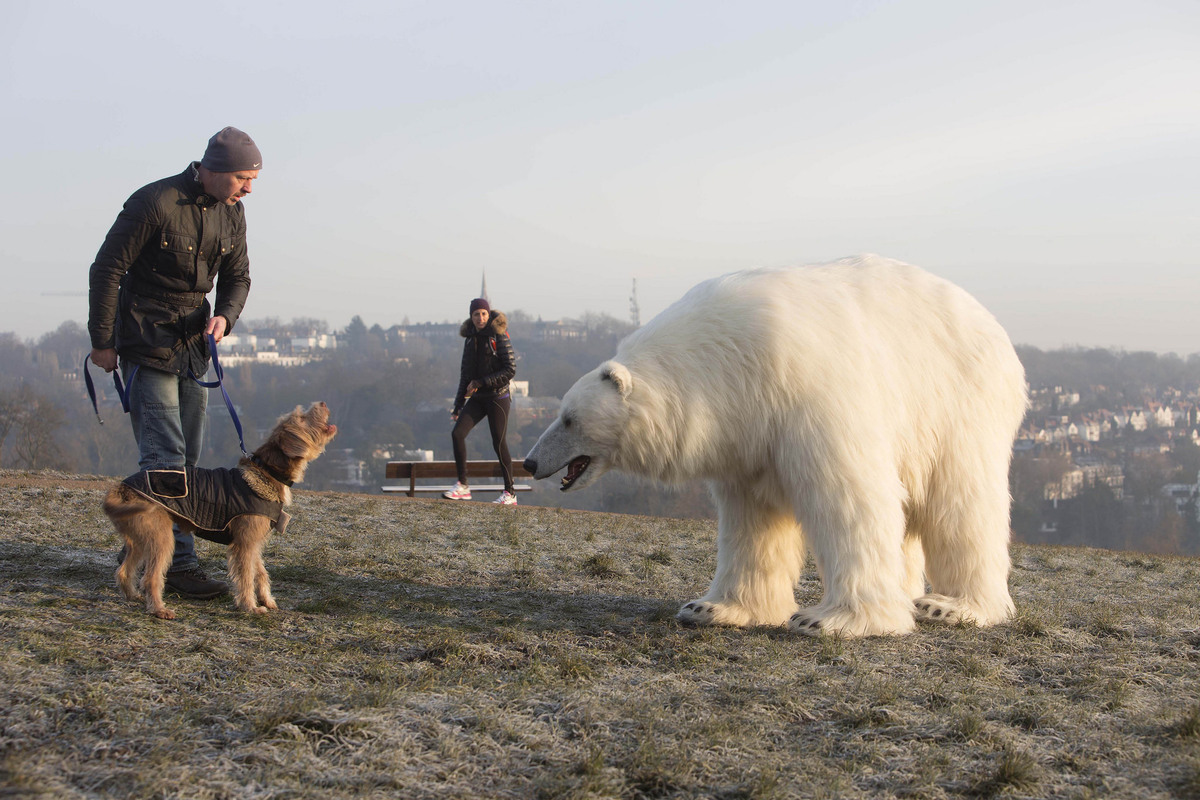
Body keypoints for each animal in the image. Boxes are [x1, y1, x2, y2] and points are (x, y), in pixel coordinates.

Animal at [105, 400, 338, 618]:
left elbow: (260, 572)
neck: (268, 473)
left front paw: (267, 600)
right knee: (151, 577)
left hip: (140, 540)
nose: (323, 403)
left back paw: (133, 596)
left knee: (124, 571)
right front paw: (250, 607)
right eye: (301, 418)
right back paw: (159, 609)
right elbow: (246, 576)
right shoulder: (244, 544)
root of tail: (121, 488)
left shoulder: (253, 542)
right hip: (161, 539)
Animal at [525, 256, 1032, 638]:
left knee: (961, 500)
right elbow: (754, 521)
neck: (727, 364)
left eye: (568, 418)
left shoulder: (806, 393)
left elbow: (849, 497)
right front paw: (711, 608)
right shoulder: (748, 434)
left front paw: (830, 619)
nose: (530, 462)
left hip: (958, 401)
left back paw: (951, 605)